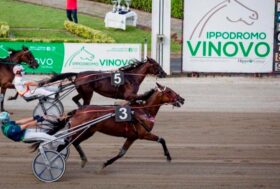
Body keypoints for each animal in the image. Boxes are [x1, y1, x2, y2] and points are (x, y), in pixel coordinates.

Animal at [55, 82, 185, 168]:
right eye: (169, 91)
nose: (182, 99)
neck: (144, 111)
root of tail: (77, 111)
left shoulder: (132, 137)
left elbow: (122, 153)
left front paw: (105, 163)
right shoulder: (143, 134)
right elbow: (162, 139)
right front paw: (168, 156)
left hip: (88, 131)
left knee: (75, 142)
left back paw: (83, 160)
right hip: (80, 130)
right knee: (66, 143)